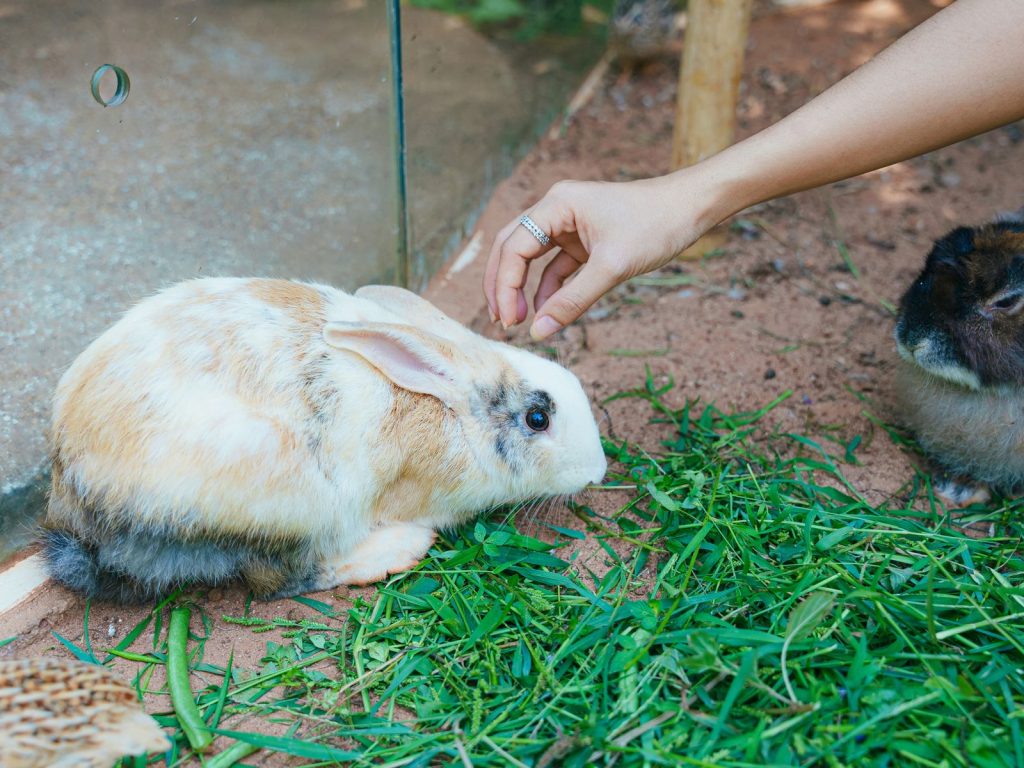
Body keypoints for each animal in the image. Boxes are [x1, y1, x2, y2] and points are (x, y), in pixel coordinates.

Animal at [41, 278, 607, 603]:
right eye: (537, 418)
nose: (599, 471)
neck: (456, 415)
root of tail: (77, 508)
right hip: (294, 508)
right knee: (278, 582)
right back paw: (398, 550)